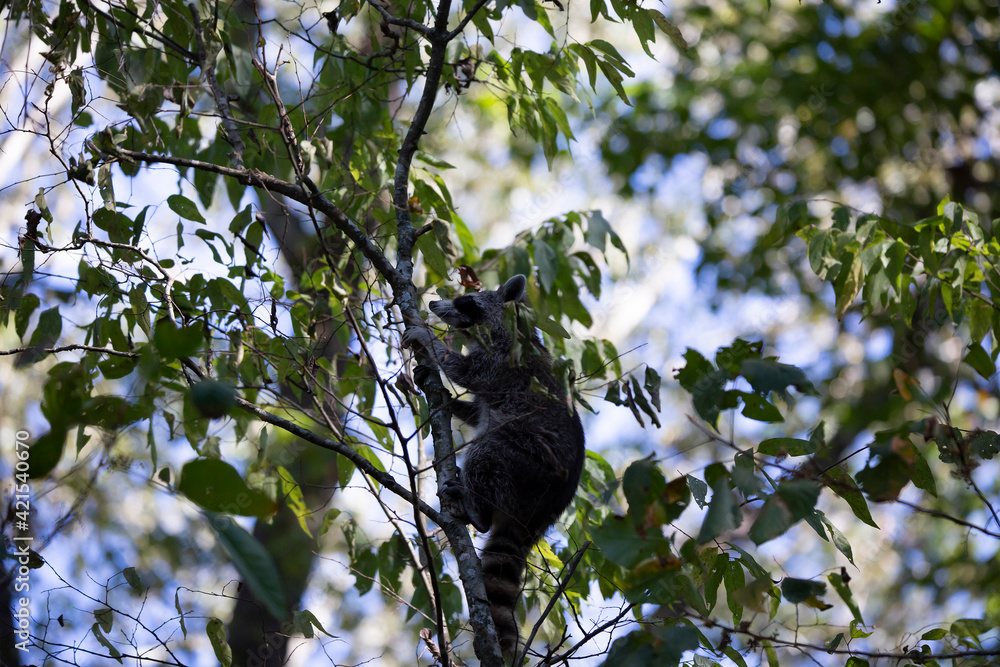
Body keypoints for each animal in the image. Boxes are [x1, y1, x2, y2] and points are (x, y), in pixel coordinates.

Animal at [403, 274, 586, 662]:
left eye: (465, 301)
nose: (433, 305)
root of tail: (544, 511)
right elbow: (476, 411)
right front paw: (447, 398)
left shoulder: (503, 362)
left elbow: (468, 372)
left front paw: (428, 337)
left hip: (529, 459)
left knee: (487, 451)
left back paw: (479, 512)